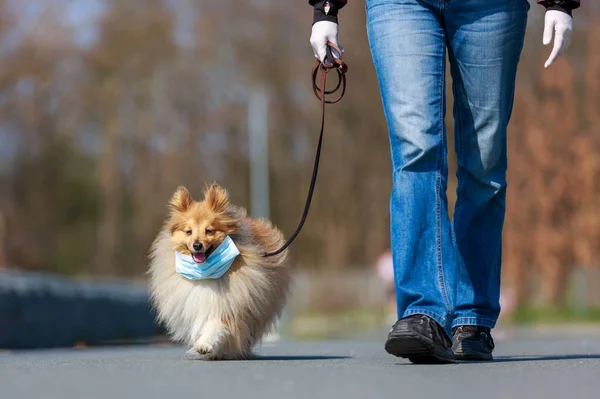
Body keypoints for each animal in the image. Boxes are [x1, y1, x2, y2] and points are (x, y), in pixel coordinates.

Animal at [149, 184, 292, 360]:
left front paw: (205, 345)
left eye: (209, 230)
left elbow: (217, 325)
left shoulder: (231, 303)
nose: (197, 245)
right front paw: (210, 350)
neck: (205, 273)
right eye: (188, 231)